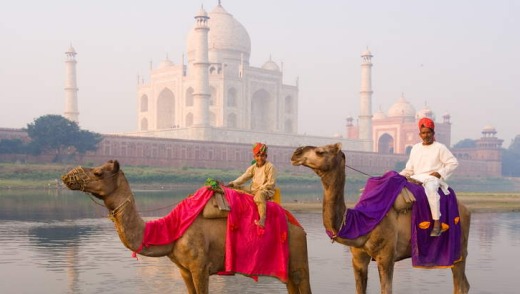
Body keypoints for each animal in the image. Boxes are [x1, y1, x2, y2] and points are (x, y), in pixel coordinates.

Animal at [62, 160, 310, 294]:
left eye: (98, 172)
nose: (67, 176)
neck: (171, 231)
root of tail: (298, 226)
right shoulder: (183, 269)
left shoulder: (200, 266)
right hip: (288, 265)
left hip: (297, 256)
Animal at [290, 144, 470, 292]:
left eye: (320, 152)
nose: (296, 152)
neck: (359, 221)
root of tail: (466, 209)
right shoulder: (358, 259)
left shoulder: (386, 257)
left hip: (458, 249)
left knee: (460, 284)